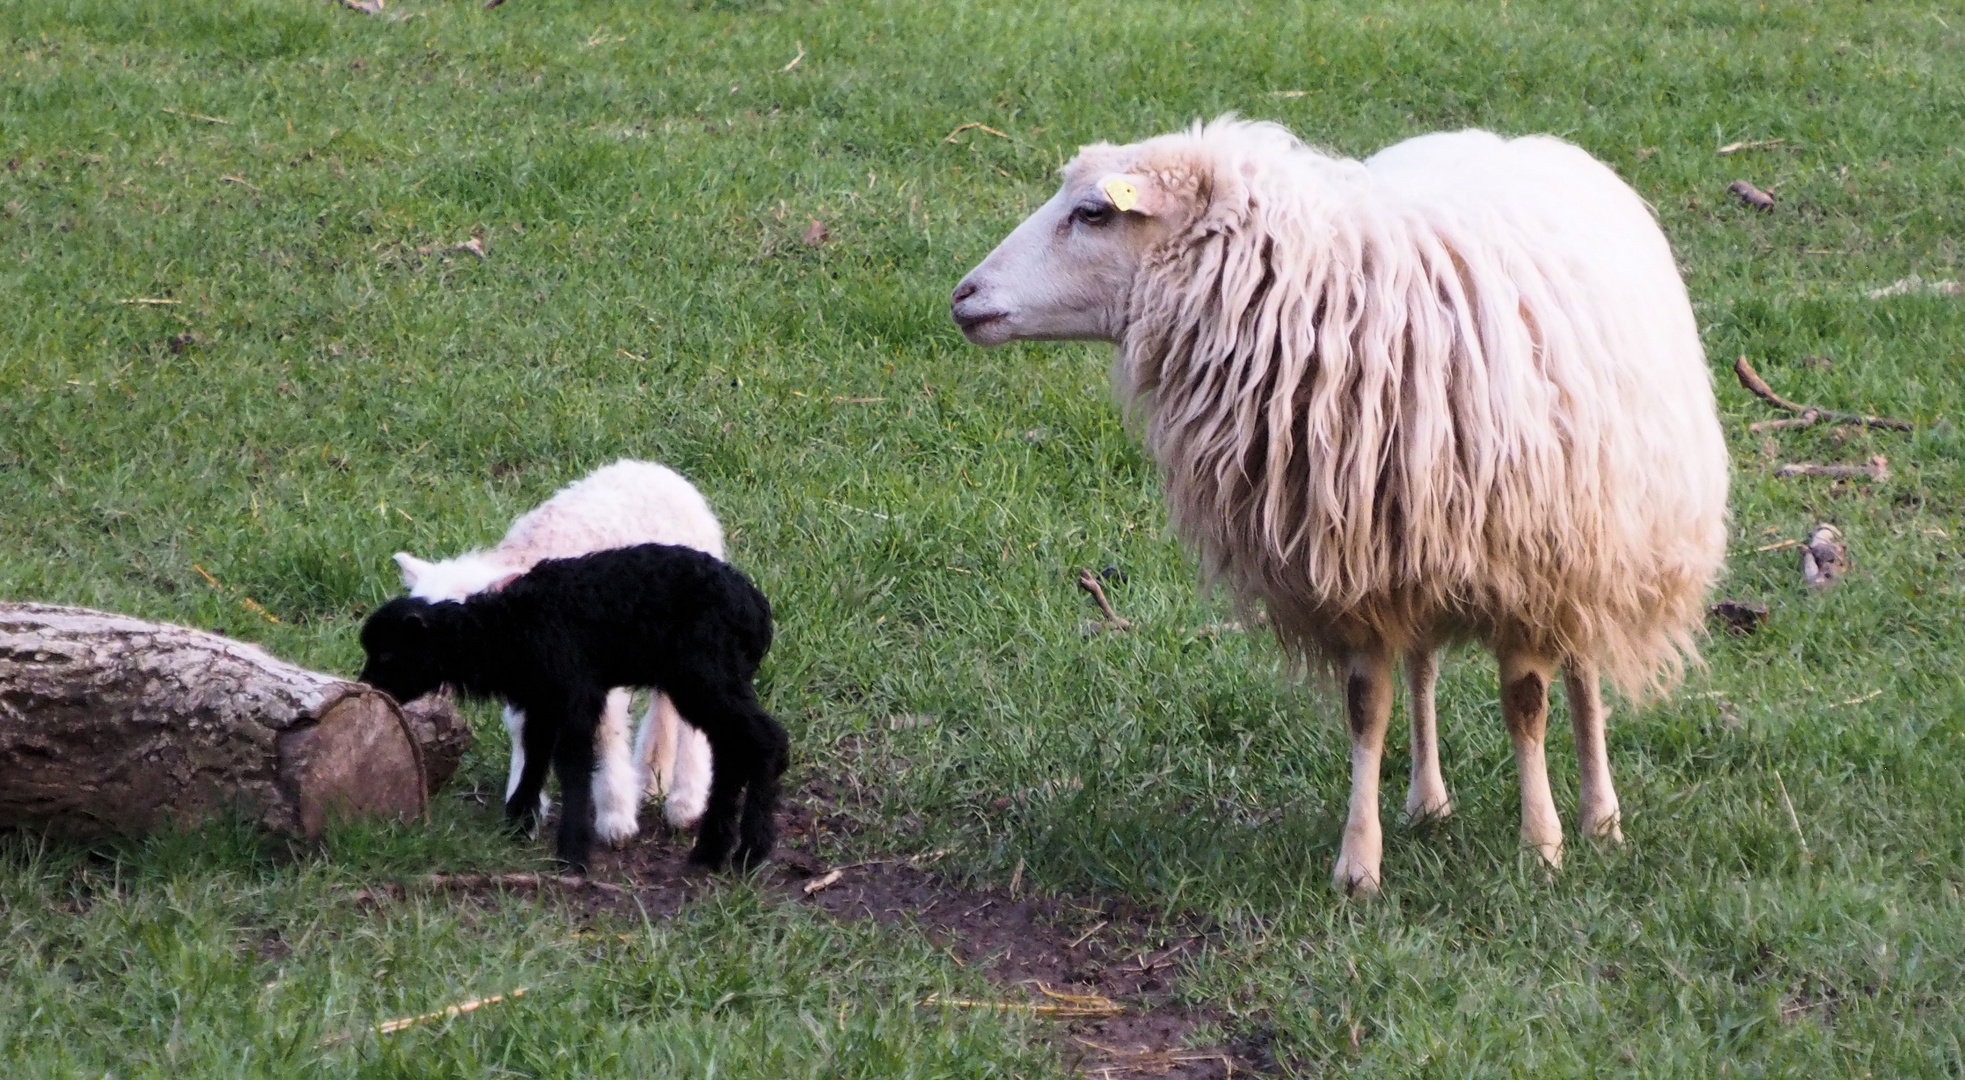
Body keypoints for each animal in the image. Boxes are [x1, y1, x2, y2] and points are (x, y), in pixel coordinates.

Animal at [357, 545, 786, 875]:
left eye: (388, 654)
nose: (367, 688)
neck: (505, 628)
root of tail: (757, 611)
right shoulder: (542, 699)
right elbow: (535, 756)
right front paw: (518, 823)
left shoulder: (576, 692)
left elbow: (573, 763)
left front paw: (572, 855)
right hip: (706, 683)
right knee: (734, 750)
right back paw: (710, 854)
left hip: (706, 674)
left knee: (768, 740)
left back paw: (751, 853)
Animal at [391, 457, 723, 848]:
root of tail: (658, 471)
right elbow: (525, 734)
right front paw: (523, 816)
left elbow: (605, 735)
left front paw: (616, 822)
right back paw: (652, 781)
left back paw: (685, 802)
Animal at [951, 118, 1721, 899]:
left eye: (1093, 213)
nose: (963, 294)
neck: (1318, 293)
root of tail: (1511, 140)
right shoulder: (1352, 572)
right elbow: (1365, 709)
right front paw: (1358, 865)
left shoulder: (1526, 566)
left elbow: (1525, 705)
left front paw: (1541, 846)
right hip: (1417, 542)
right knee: (1422, 666)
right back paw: (1427, 801)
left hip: (1600, 531)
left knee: (1580, 668)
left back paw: (1601, 816)